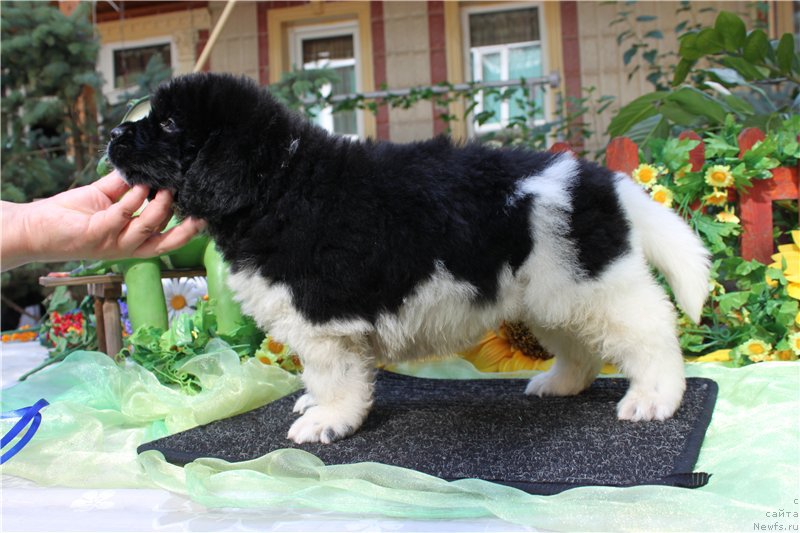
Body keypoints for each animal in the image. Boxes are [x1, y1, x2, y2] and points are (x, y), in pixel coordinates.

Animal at [108, 71, 712, 444]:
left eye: (167, 124)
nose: (113, 133)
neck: (279, 184)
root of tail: (602, 180)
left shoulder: (327, 321)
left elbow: (334, 376)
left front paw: (329, 420)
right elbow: (319, 376)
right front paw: (313, 405)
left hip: (596, 283)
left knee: (652, 333)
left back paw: (655, 398)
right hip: (552, 291)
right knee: (580, 346)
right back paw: (560, 383)